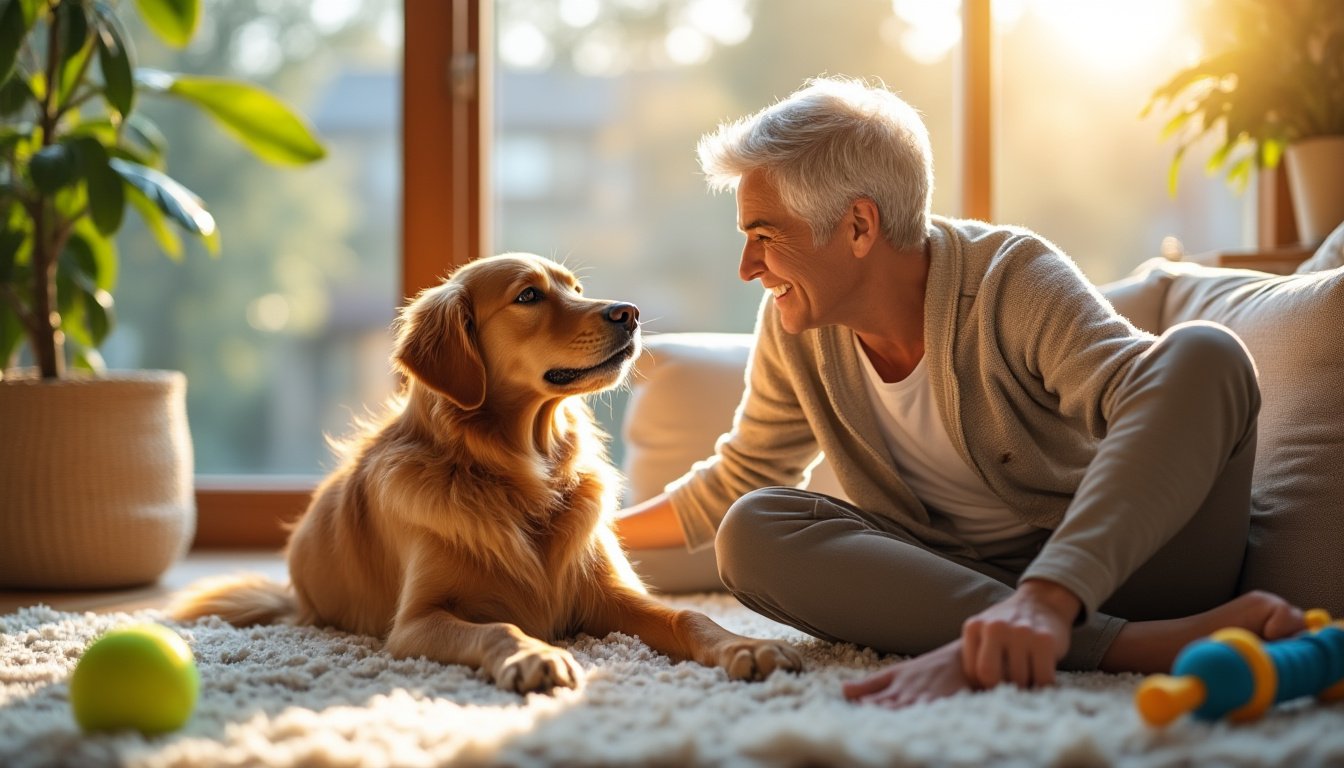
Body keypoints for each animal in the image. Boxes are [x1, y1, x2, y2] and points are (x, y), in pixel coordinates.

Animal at [168, 254, 795, 699]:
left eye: (574, 288)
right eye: (528, 295)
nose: (630, 312)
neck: (519, 473)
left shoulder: (610, 595)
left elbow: (691, 614)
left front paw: (744, 645)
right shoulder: (415, 625)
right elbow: (496, 628)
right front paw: (534, 655)